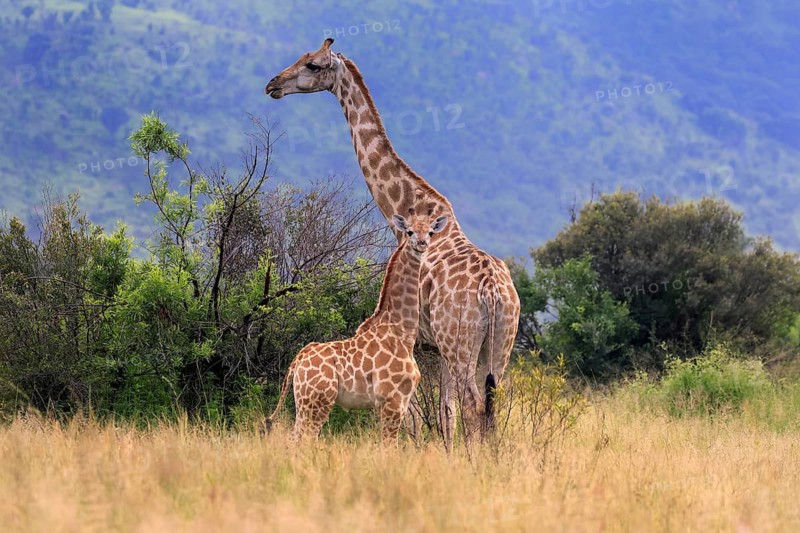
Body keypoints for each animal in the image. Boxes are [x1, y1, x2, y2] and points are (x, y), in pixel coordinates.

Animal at [264, 213, 450, 441]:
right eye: (409, 231)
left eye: (431, 232)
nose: (422, 244)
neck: (402, 333)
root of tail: (297, 361)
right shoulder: (392, 400)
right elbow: (389, 444)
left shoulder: (402, 401)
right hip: (317, 401)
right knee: (302, 439)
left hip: (304, 402)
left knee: (294, 438)